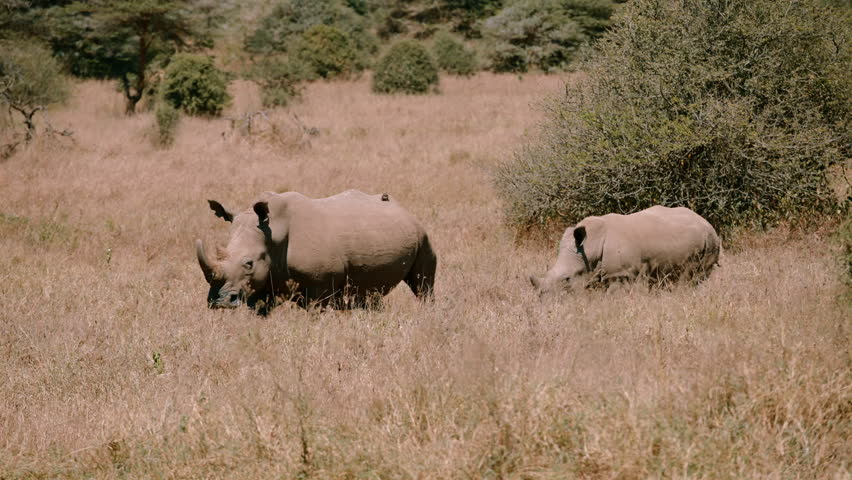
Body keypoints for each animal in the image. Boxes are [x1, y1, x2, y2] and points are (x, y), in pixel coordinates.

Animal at [196, 190, 437, 311]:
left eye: (249, 263)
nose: (219, 303)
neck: (274, 233)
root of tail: (403, 208)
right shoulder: (265, 281)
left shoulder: (320, 283)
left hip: (423, 236)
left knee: (423, 285)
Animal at [530, 206, 720, 294]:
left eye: (566, 279)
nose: (542, 296)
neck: (590, 247)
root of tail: (705, 221)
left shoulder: (621, 273)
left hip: (710, 241)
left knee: (693, 277)